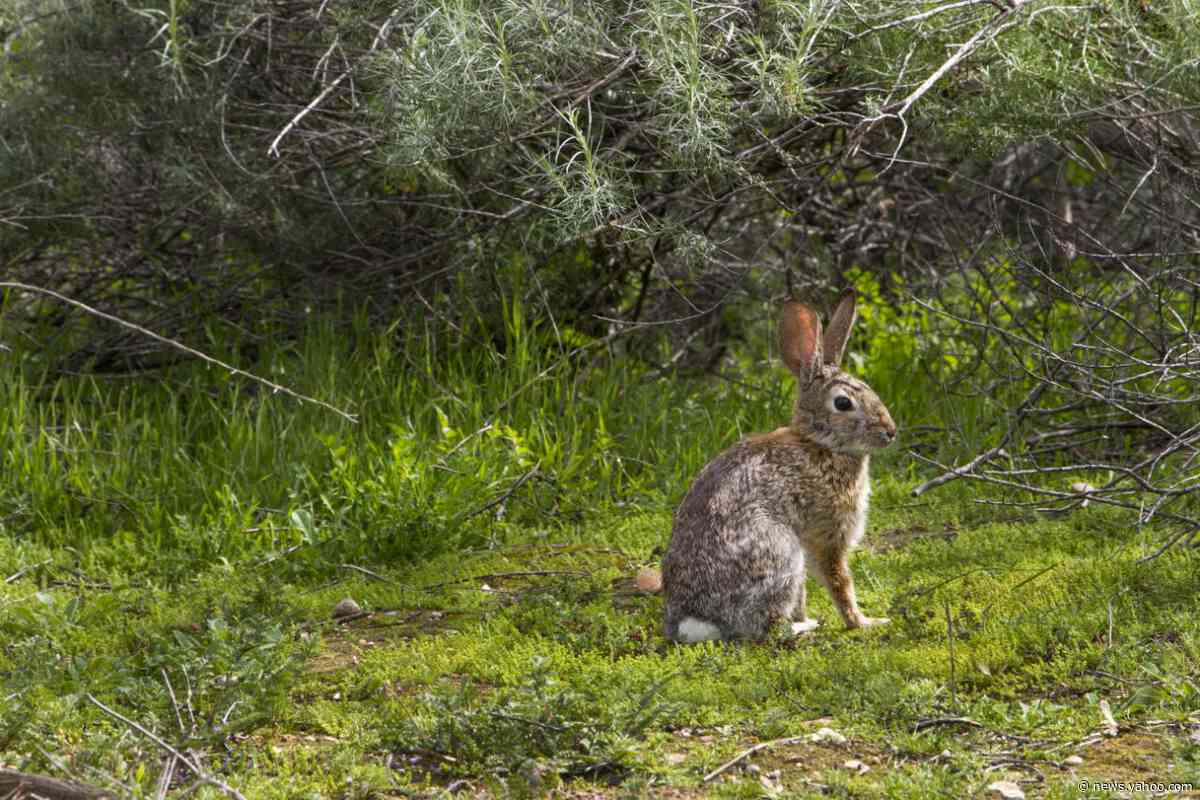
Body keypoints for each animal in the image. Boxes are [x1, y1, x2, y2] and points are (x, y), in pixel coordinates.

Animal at [662, 289, 897, 642]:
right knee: (766, 628)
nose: (890, 432)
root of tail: (698, 621)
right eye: (843, 403)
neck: (819, 443)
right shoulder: (827, 535)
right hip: (782, 554)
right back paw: (804, 626)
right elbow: (839, 581)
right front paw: (863, 621)